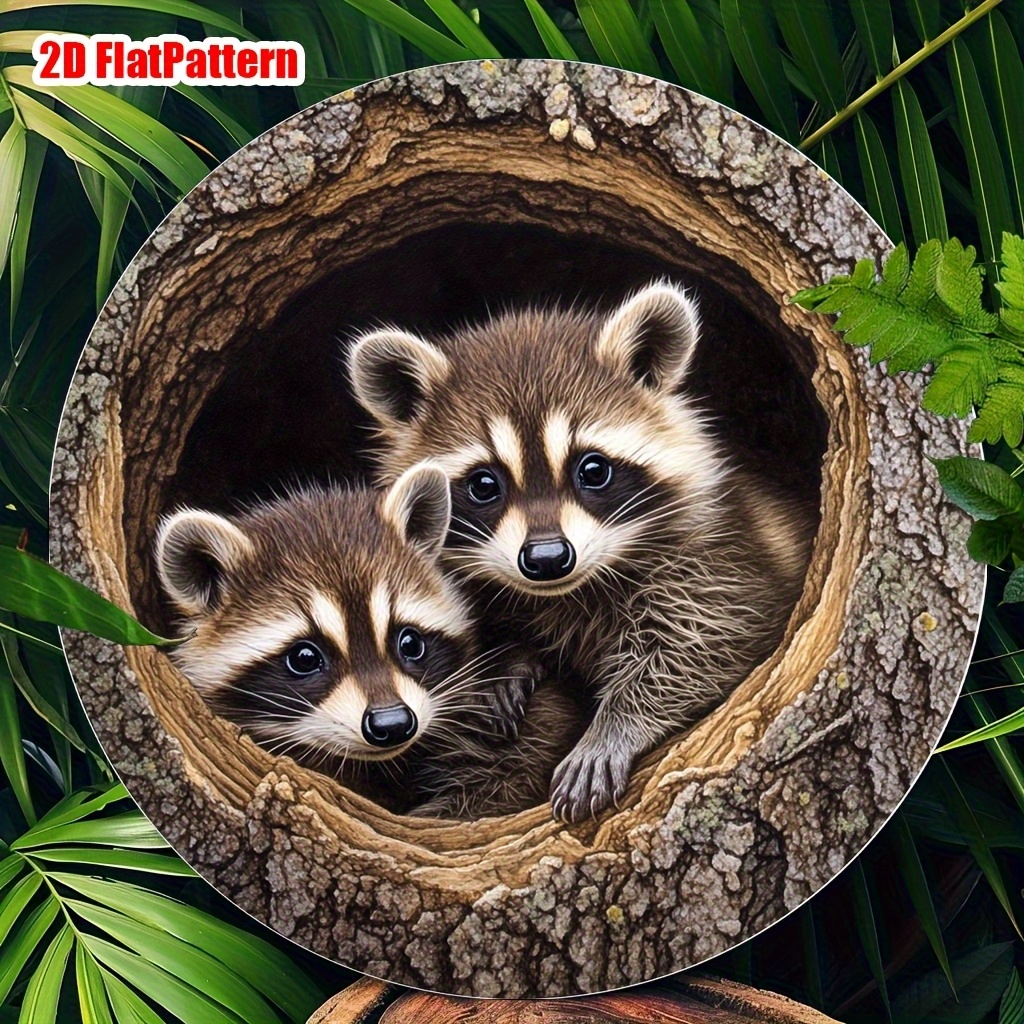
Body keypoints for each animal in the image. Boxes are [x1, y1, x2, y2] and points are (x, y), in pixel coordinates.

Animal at [348, 282, 816, 822]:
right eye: (484, 484)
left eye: (592, 470)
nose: (548, 558)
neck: (563, 592)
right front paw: (509, 657)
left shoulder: (716, 560)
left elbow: (704, 643)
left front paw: (616, 725)